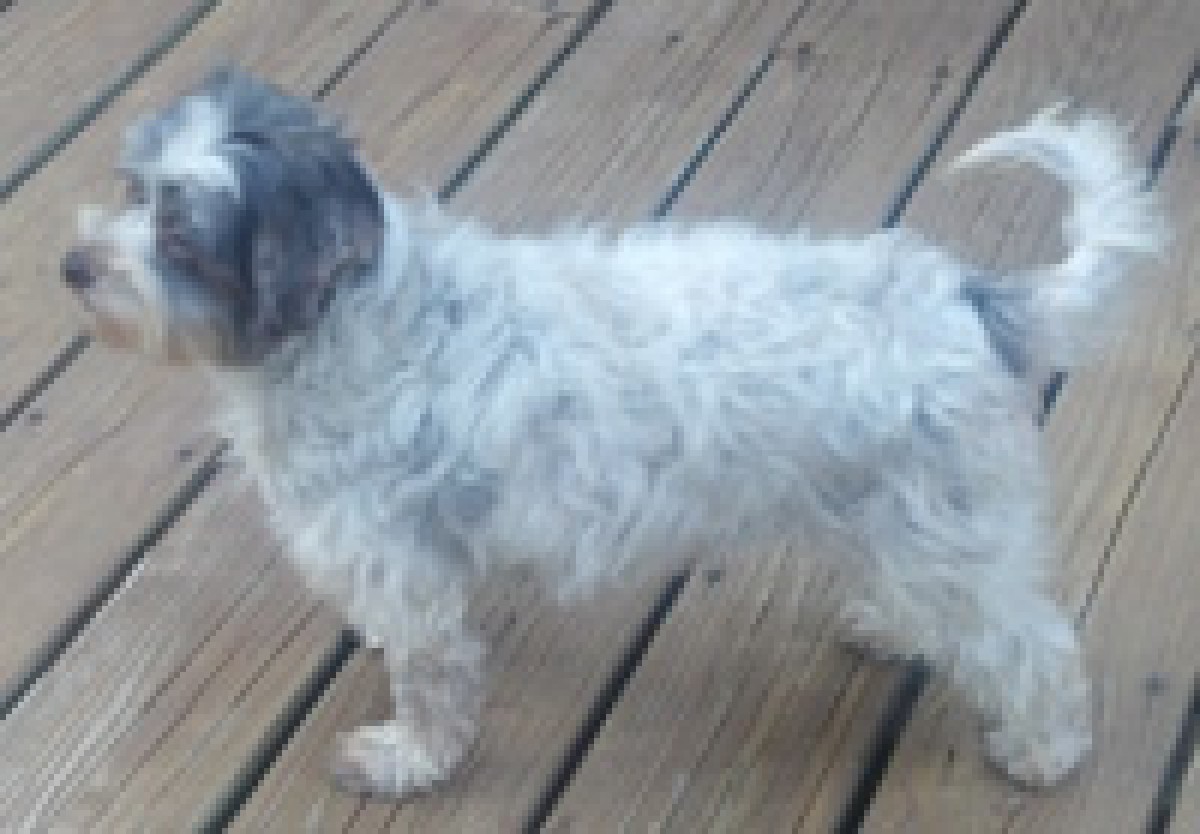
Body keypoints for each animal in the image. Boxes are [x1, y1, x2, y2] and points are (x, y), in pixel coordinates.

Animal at [61, 69, 1163, 797]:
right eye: (131, 187)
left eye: (181, 236)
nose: (74, 266)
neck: (353, 320)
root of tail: (981, 301)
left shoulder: (405, 571)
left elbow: (431, 682)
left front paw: (407, 761)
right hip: (899, 523)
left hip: (953, 541)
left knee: (1035, 645)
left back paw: (1044, 752)